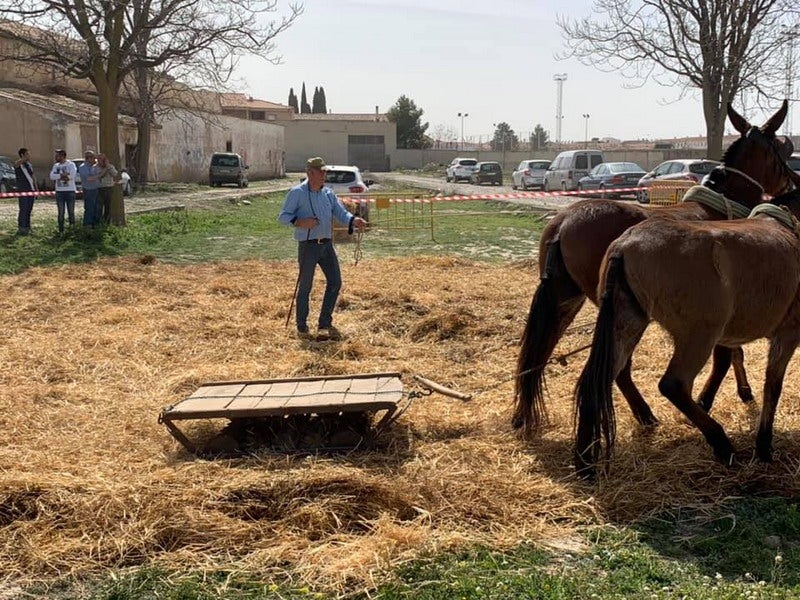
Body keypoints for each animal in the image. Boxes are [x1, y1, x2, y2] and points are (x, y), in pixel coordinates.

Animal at [516, 102, 796, 432]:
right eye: (780, 146)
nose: (790, 179)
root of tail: (562, 223)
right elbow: (729, 355)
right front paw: (716, 398)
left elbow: (733, 351)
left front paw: (740, 391)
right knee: (618, 366)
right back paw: (644, 413)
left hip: (565, 298)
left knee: (540, 351)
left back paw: (523, 414)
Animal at [576, 197, 800, 478]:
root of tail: (624, 245)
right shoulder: (787, 335)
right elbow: (772, 385)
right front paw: (764, 446)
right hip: (698, 335)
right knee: (674, 384)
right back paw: (722, 444)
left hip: (626, 324)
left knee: (596, 380)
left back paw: (584, 462)